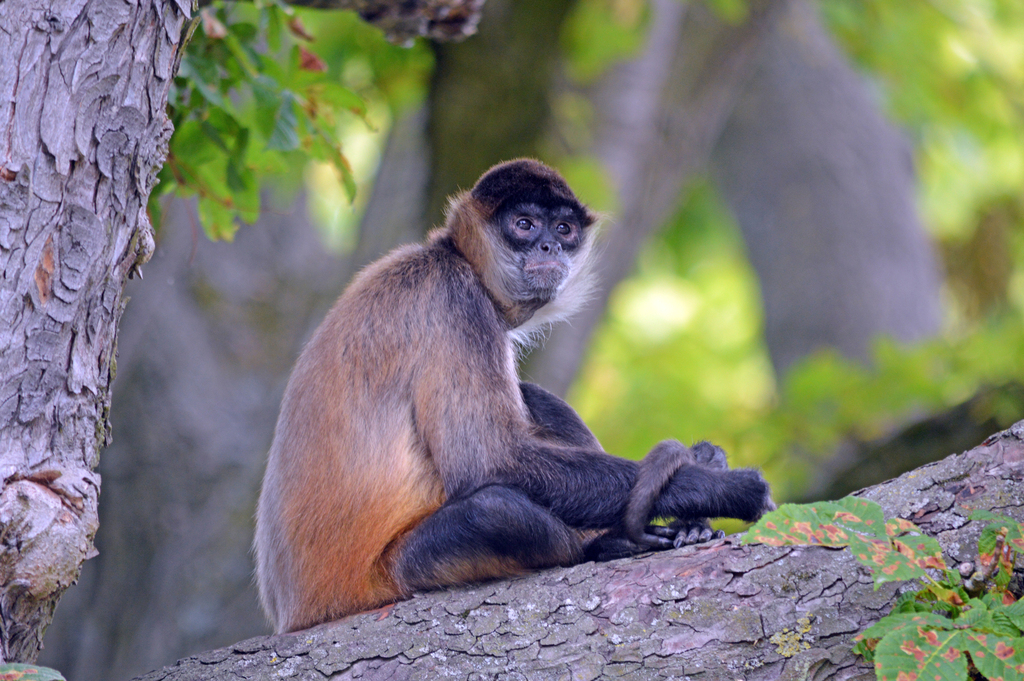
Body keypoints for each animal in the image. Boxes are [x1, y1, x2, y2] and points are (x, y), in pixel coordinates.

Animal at [251, 157, 770, 630]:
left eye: (563, 228)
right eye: (524, 224)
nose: (548, 245)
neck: (447, 254)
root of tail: (297, 606)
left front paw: (699, 488)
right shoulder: (454, 298)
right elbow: (489, 460)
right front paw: (712, 487)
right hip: (388, 575)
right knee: (497, 511)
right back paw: (603, 543)